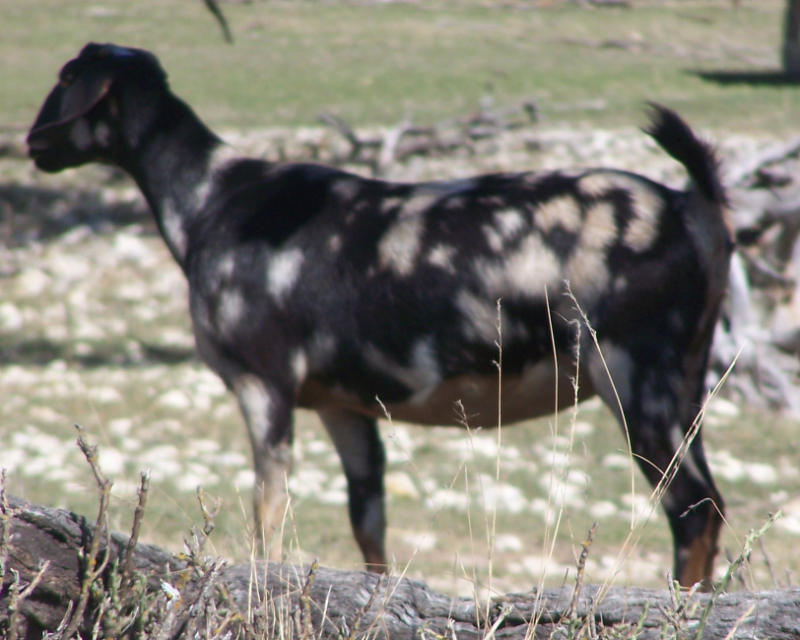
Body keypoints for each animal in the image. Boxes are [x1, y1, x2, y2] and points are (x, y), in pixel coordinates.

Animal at [28, 42, 736, 588]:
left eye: (66, 79)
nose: (33, 143)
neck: (214, 199)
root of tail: (692, 206)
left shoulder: (264, 383)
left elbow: (268, 515)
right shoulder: (344, 404)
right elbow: (366, 524)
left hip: (634, 375)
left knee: (692, 511)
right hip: (686, 384)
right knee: (713, 505)